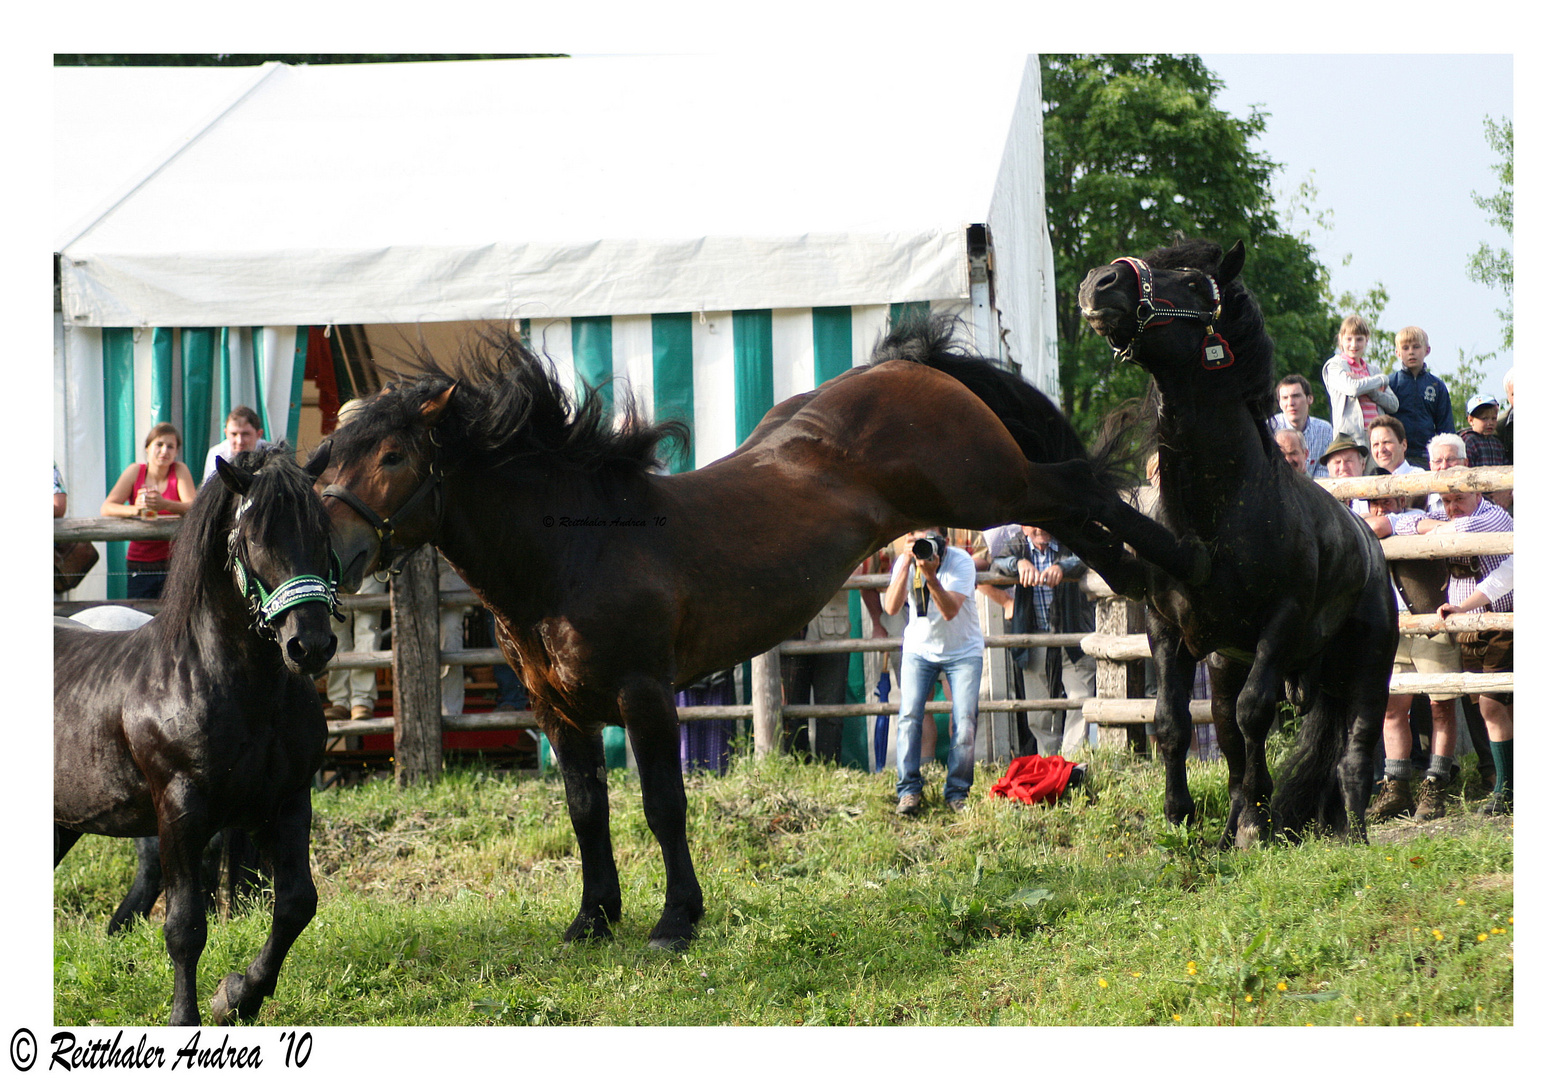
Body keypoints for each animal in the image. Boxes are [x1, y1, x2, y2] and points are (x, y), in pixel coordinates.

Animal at [56, 445, 336, 1022]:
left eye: (323, 529)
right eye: (253, 536)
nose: (310, 646)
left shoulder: (288, 802)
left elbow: (296, 903)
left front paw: (238, 996)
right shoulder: (180, 812)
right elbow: (184, 926)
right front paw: (186, 1017)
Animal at [1078, 239, 1397, 846]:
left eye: (1195, 284)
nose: (1099, 283)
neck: (1222, 511)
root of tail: (1370, 548)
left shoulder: (1281, 621)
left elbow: (1255, 715)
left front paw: (1256, 821)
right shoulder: (1167, 629)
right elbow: (1173, 724)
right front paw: (1181, 818)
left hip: (1369, 667)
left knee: (1354, 754)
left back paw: (1353, 834)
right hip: (1230, 666)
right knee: (1229, 740)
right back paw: (1235, 829)